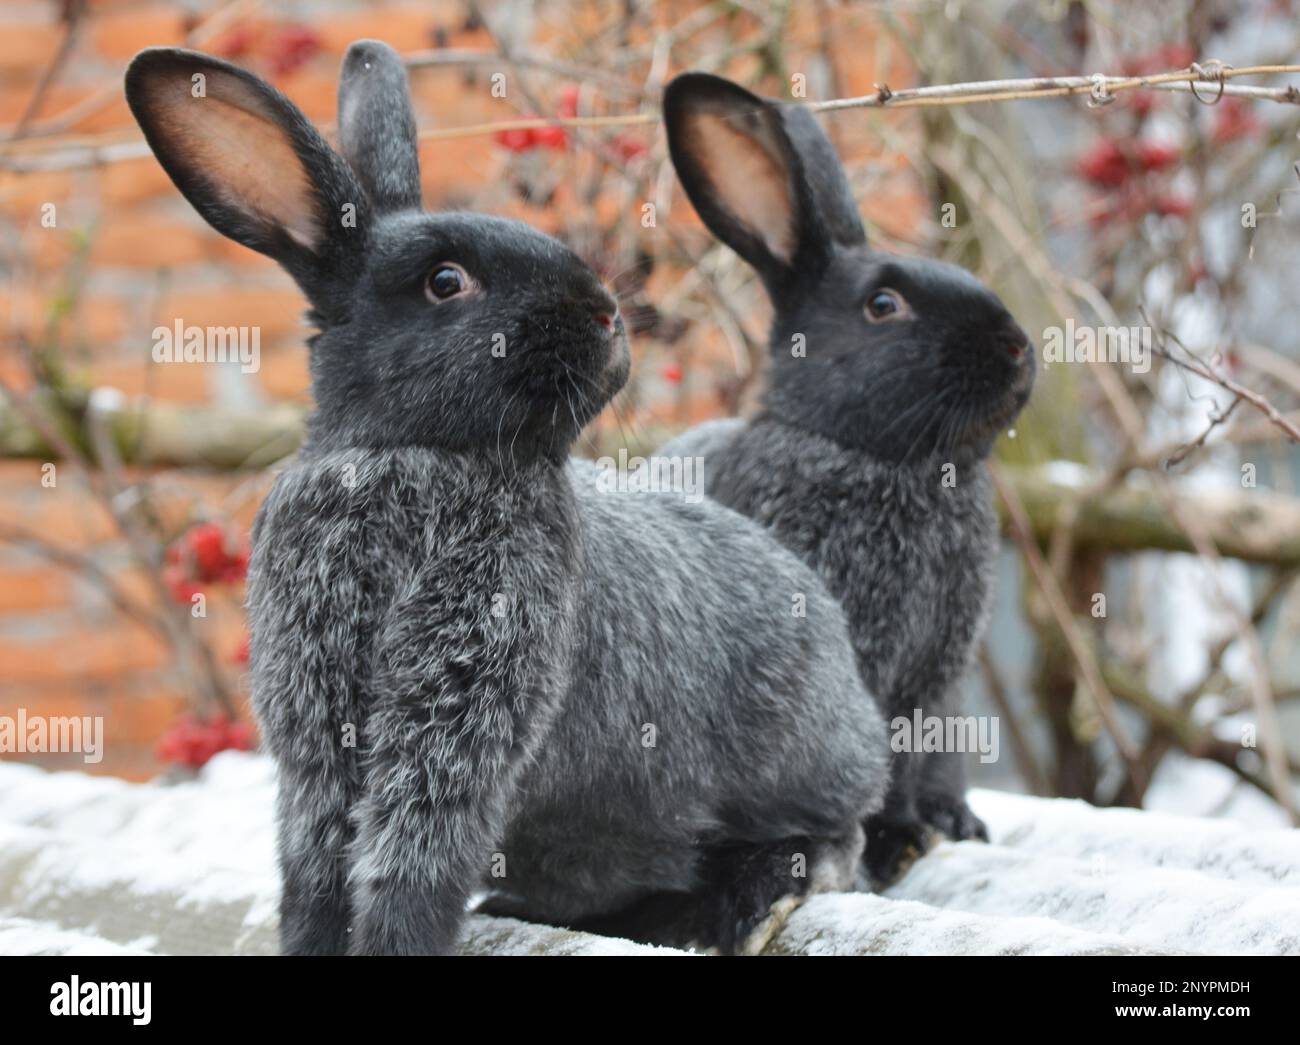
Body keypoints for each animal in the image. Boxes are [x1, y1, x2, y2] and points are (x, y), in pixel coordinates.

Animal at [126, 40, 889, 956]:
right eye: (445, 281)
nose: (606, 316)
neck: (415, 456)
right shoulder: (319, 734)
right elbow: (317, 865)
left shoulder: (463, 712)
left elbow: (412, 857)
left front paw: (397, 945)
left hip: (795, 763)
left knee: (837, 835)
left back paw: (753, 897)